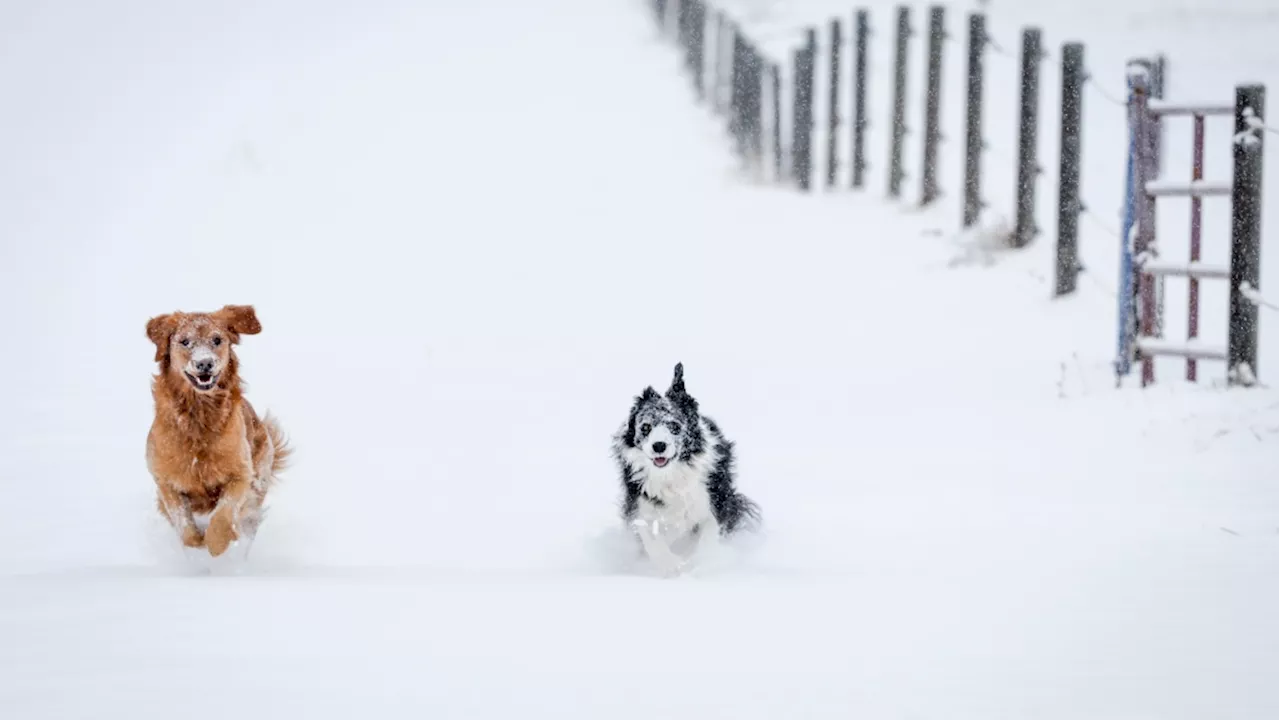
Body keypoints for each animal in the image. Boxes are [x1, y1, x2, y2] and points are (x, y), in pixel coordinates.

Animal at [144, 302, 290, 556]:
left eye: (217, 339)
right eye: (185, 341)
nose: (205, 363)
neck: (198, 416)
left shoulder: (241, 475)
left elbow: (223, 516)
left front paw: (217, 545)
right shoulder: (166, 482)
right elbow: (185, 526)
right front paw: (197, 546)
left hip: (259, 476)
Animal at [611, 361, 757, 573]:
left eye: (674, 426)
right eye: (645, 427)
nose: (659, 446)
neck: (672, 475)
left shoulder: (714, 499)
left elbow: (708, 533)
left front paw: (699, 564)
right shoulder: (640, 502)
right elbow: (652, 538)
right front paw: (672, 567)